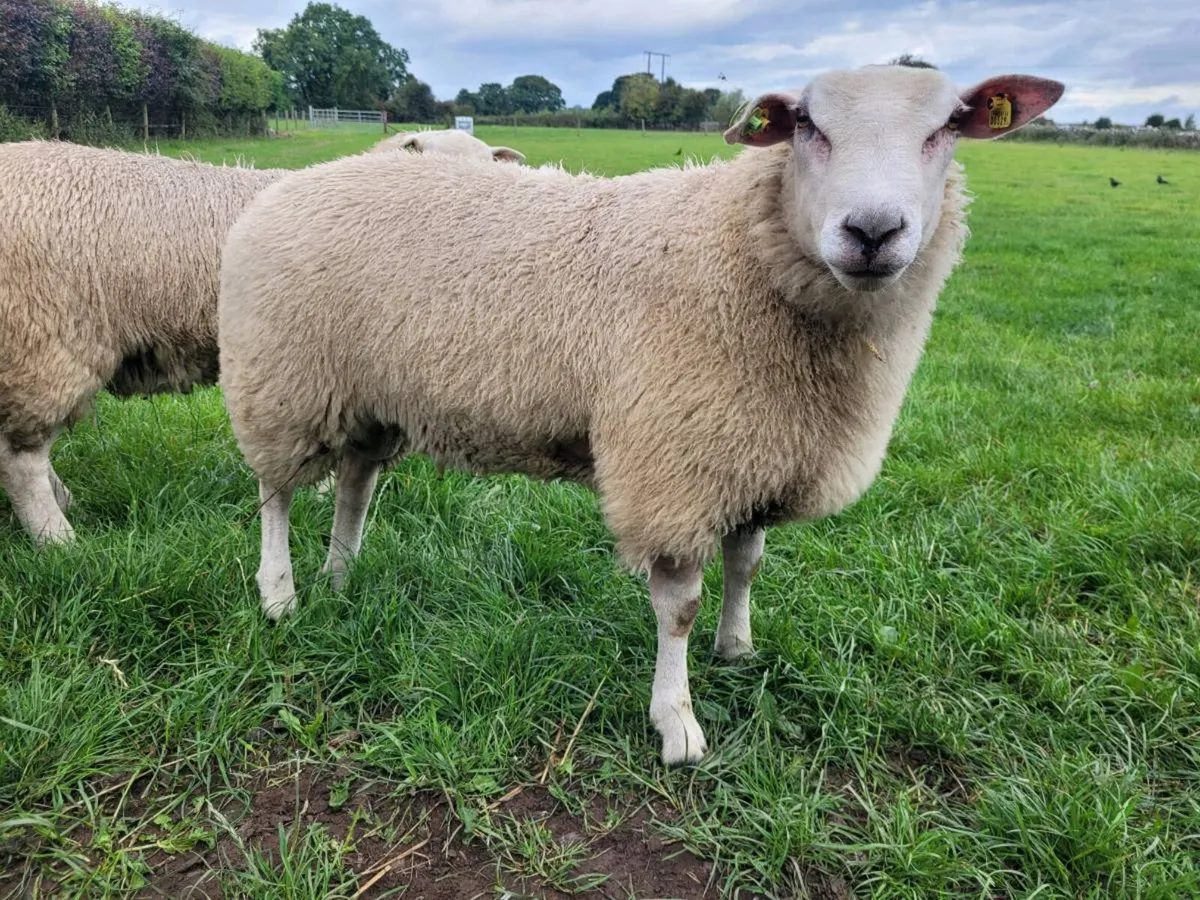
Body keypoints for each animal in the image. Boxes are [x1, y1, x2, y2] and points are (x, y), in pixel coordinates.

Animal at [217, 65, 1063, 765]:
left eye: (946, 128)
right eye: (807, 126)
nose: (873, 232)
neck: (739, 255)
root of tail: (286, 185)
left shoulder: (752, 446)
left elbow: (748, 563)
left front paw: (737, 648)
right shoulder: (676, 460)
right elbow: (678, 607)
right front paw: (676, 723)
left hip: (366, 395)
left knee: (356, 482)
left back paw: (342, 575)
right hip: (280, 379)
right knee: (276, 492)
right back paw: (280, 594)